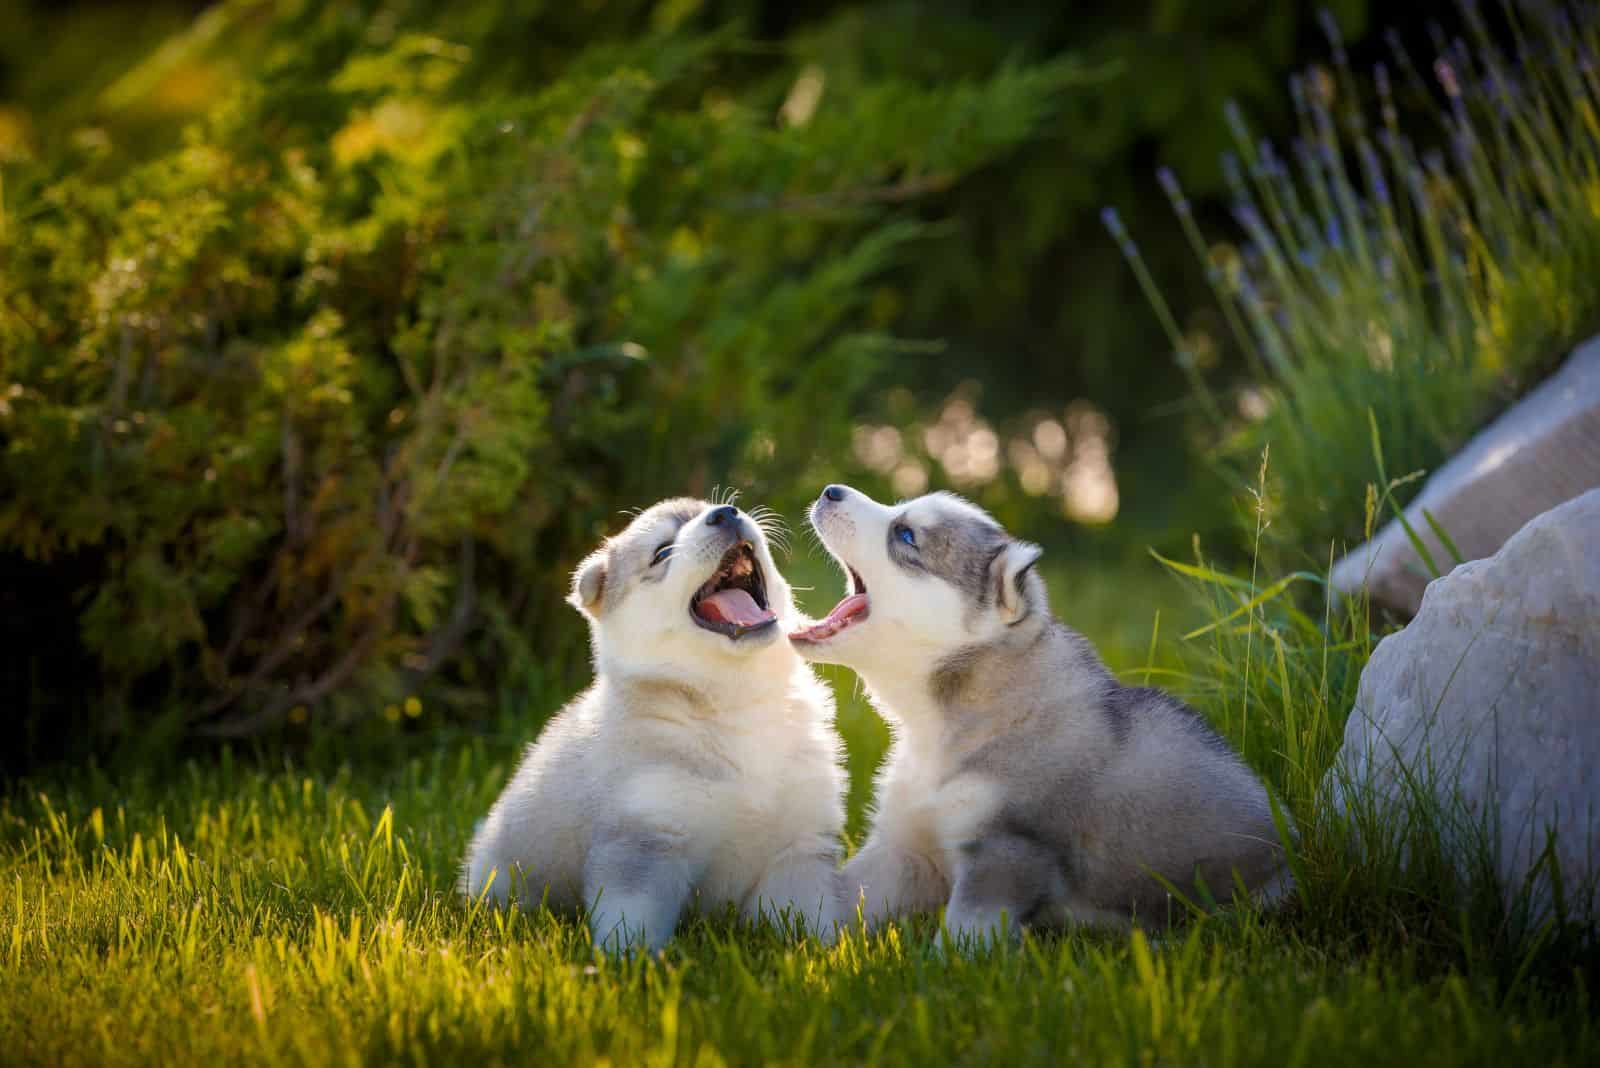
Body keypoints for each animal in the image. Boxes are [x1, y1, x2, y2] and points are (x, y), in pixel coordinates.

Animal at [464, 498, 851, 952]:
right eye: (663, 552)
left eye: (718, 507)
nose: (726, 513)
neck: (735, 701)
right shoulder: (645, 837)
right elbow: (634, 919)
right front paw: (632, 961)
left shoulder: (799, 844)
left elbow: (808, 916)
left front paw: (822, 952)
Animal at [793, 482, 1292, 940]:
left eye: (906, 535)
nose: (831, 490)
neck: (936, 728)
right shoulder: (906, 848)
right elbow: (839, 894)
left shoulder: (1005, 852)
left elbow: (960, 934)